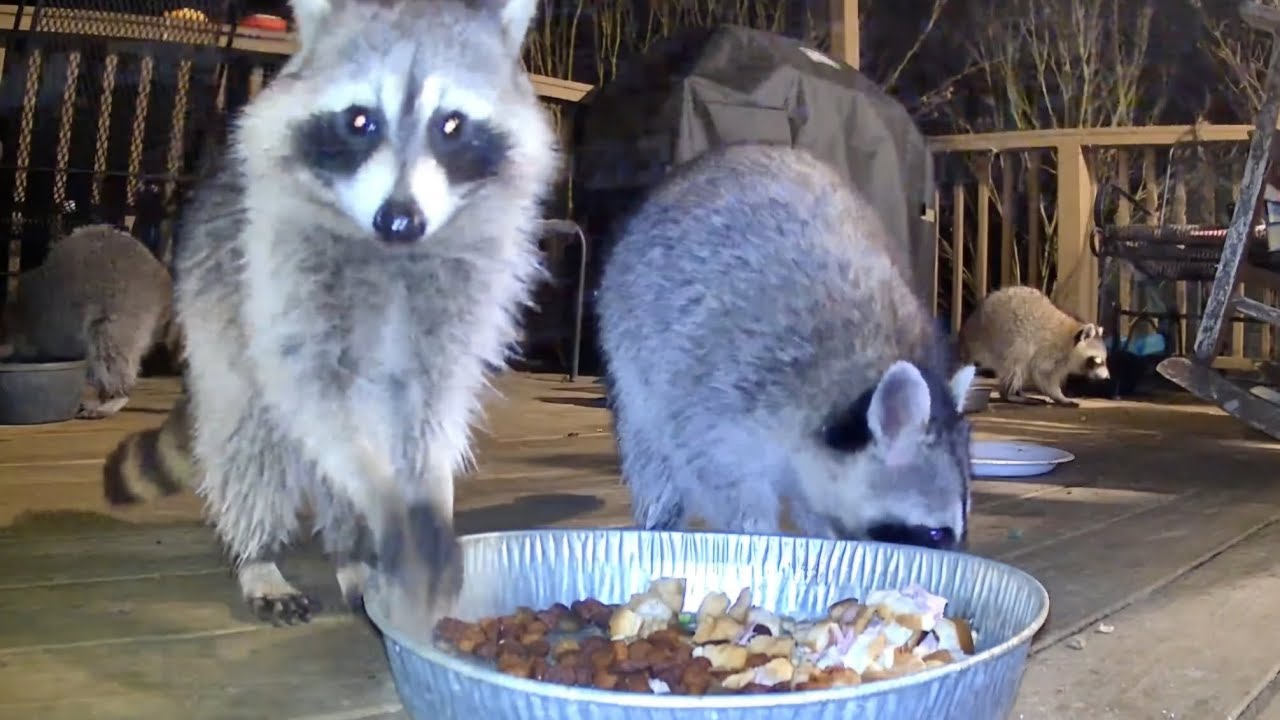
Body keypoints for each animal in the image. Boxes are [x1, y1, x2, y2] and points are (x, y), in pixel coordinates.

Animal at [161, 0, 557, 630]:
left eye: (452, 125)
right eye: (359, 121)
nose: (399, 218)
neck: (391, 249)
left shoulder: (467, 292)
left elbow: (438, 405)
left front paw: (429, 491)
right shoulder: (277, 271)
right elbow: (311, 394)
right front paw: (381, 496)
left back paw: (351, 554)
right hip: (214, 299)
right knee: (251, 438)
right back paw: (260, 555)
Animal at [596, 144, 977, 550]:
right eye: (936, 533)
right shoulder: (730, 388)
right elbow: (718, 473)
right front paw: (757, 529)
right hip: (630, 346)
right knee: (650, 453)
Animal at [959, 285, 1110, 407]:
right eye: (1097, 360)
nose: (1108, 377)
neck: (1071, 338)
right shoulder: (1051, 350)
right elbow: (1041, 373)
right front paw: (1059, 396)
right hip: (1002, 337)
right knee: (1017, 361)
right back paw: (1008, 394)